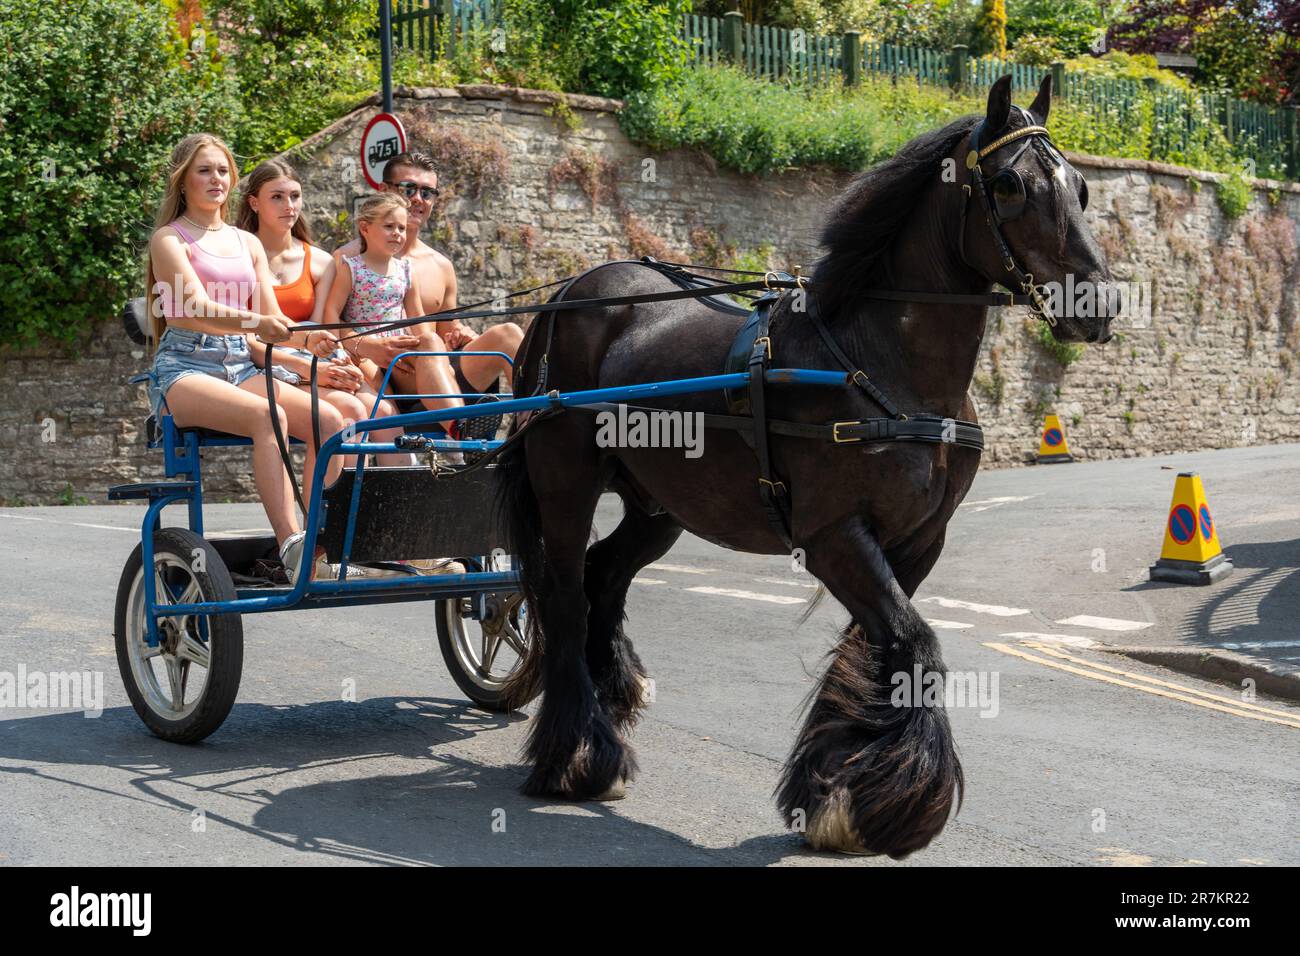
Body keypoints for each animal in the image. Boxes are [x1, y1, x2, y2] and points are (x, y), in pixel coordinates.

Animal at [491, 76, 1112, 858]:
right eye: (1008, 185)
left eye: (1081, 187)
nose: (1098, 302)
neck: (881, 360)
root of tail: (569, 294)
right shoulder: (834, 536)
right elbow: (913, 642)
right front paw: (886, 801)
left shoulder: (918, 541)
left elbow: (876, 649)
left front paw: (836, 790)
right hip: (566, 483)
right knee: (566, 598)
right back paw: (576, 756)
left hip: (661, 505)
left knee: (605, 577)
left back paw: (604, 719)